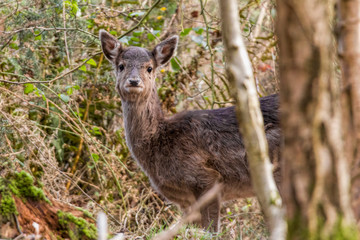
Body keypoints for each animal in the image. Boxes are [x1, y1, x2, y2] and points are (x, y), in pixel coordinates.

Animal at [99, 29, 282, 232]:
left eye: (149, 68)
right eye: (121, 66)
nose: (133, 81)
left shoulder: (206, 178)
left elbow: (211, 230)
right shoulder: (185, 201)